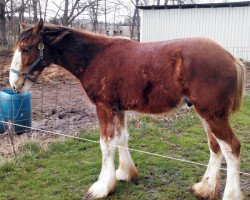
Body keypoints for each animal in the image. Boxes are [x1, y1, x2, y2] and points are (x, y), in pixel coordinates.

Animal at [8, 19, 245, 200]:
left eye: (26, 49)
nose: (14, 84)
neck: (95, 56)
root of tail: (231, 58)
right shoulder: (118, 109)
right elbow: (122, 138)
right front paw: (125, 173)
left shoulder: (104, 108)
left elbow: (106, 144)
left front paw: (102, 186)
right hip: (206, 114)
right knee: (215, 147)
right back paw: (205, 188)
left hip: (213, 115)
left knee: (231, 148)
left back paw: (230, 194)